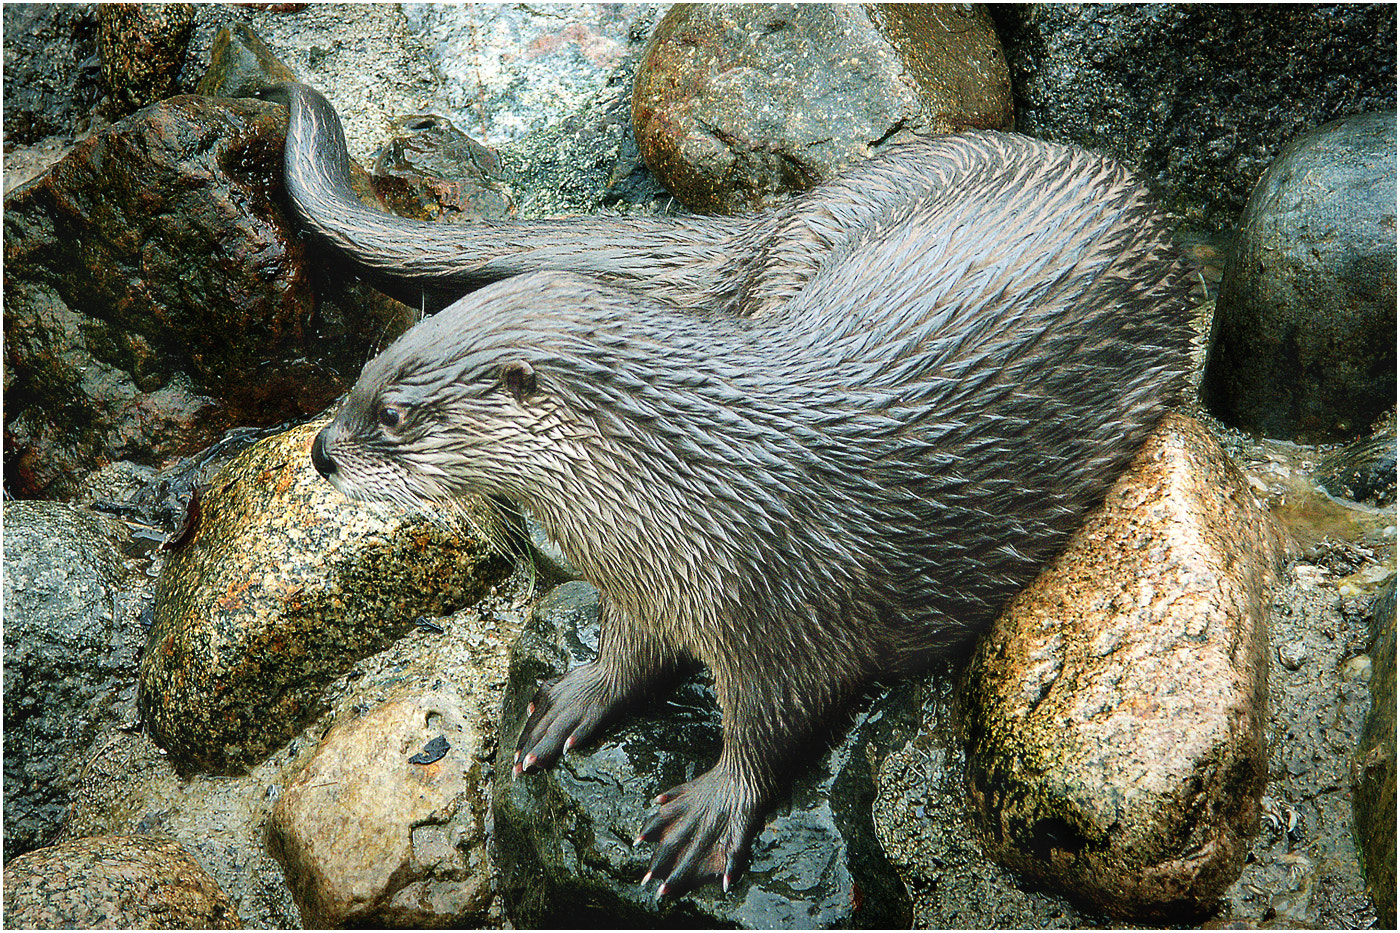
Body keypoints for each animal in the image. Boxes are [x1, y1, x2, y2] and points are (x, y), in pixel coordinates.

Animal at [283, 82, 1195, 896]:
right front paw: (581, 695)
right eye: (362, 373)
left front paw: (713, 808)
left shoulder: (793, 609)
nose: (323, 451)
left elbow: (774, 722)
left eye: (393, 412)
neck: (702, 485)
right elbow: (630, 649)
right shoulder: (642, 584)